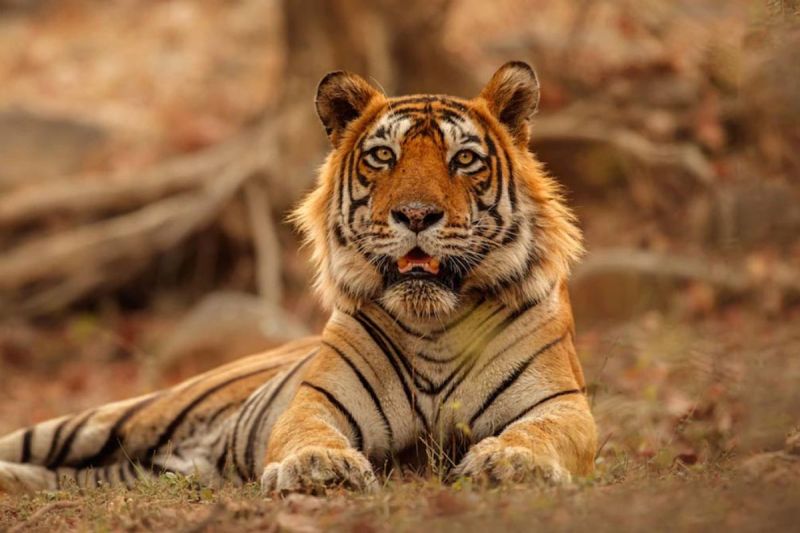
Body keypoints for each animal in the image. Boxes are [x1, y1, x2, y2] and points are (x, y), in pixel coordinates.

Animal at [0, 61, 597, 494]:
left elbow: (541, 430)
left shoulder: (562, 403)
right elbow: (307, 431)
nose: (416, 215)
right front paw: (318, 466)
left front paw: (511, 462)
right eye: (384, 156)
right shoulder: (315, 402)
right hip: (110, 419)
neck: (434, 326)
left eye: (464, 159)